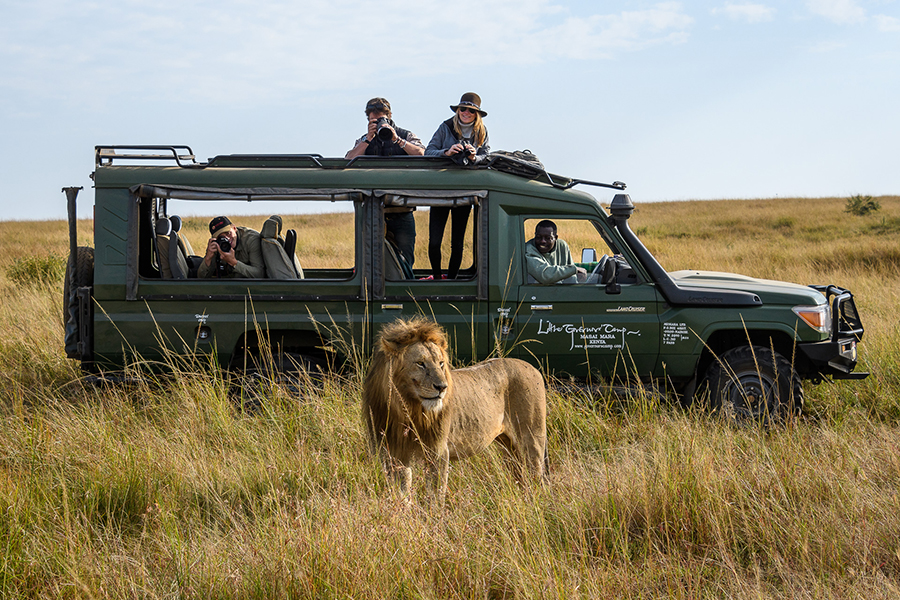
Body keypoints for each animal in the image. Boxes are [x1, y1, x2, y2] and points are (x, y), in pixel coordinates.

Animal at [360, 316, 544, 500]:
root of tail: (533, 368)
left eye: (441, 364)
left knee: (537, 478)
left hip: (531, 440)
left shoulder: (438, 452)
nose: (442, 387)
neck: (407, 408)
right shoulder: (394, 455)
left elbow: (435, 497)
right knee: (521, 478)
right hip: (508, 447)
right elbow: (402, 494)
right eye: (420, 363)